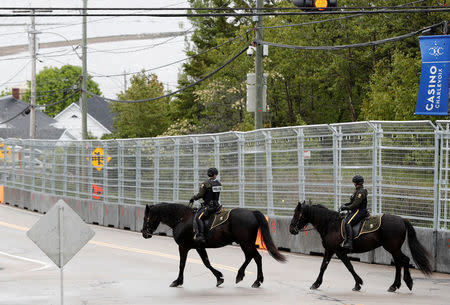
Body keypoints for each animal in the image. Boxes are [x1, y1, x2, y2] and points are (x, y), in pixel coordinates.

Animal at [142, 203, 286, 286]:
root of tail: (252, 212)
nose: (144, 233)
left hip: (246, 243)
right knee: (250, 257)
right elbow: (206, 262)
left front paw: (177, 281)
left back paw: (256, 281)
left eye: (145, 218)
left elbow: (182, 264)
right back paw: (241, 275)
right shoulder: (199, 247)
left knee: (257, 257)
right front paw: (219, 278)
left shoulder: (183, 247)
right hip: (245, 243)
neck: (182, 219)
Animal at [288, 201, 432, 290]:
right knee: (401, 262)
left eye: (296, 214)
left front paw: (358, 283)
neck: (330, 224)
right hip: (393, 248)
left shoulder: (339, 251)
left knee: (402, 261)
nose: (291, 229)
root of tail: (402, 219)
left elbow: (349, 266)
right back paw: (399, 284)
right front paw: (316, 284)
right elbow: (323, 266)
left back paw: (402, 283)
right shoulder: (330, 250)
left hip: (392, 248)